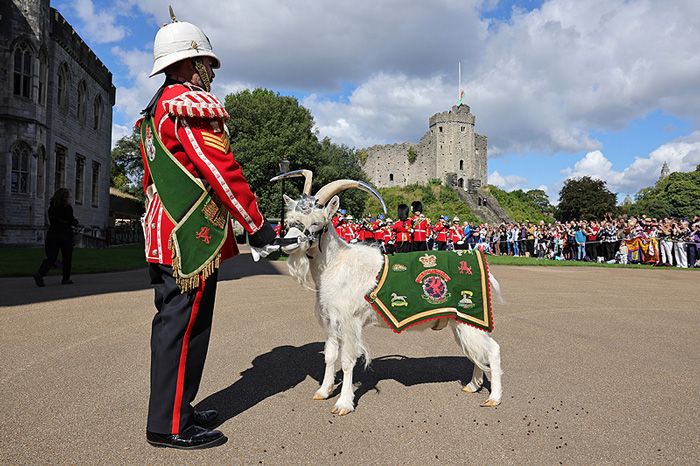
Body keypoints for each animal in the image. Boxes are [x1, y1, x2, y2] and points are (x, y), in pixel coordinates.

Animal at [274, 170, 504, 416]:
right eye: (290, 220)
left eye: (318, 222)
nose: (287, 243)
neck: (337, 264)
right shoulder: (332, 322)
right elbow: (330, 356)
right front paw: (323, 391)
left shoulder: (349, 322)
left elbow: (347, 361)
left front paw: (344, 403)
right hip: (461, 323)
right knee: (477, 353)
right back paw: (473, 385)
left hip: (470, 320)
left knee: (492, 350)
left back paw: (494, 397)